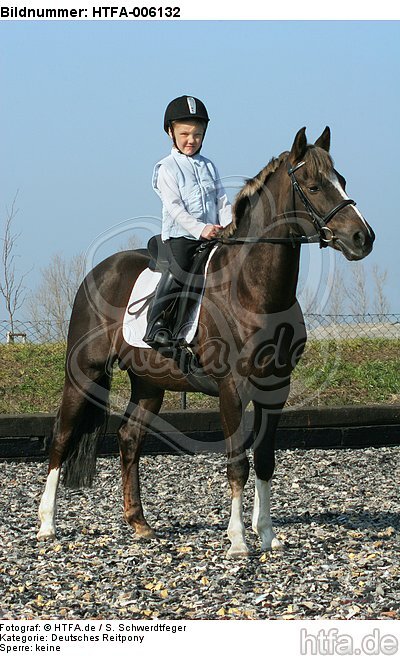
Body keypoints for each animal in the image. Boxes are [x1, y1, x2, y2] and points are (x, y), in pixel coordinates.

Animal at [37, 127, 374, 557]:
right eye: (314, 186)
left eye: (342, 180)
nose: (363, 237)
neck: (251, 291)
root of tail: (98, 271)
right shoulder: (231, 388)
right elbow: (238, 462)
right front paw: (238, 541)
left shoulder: (275, 389)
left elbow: (265, 459)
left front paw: (267, 535)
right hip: (84, 372)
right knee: (63, 435)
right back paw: (47, 524)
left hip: (150, 383)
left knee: (130, 438)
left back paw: (139, 524)